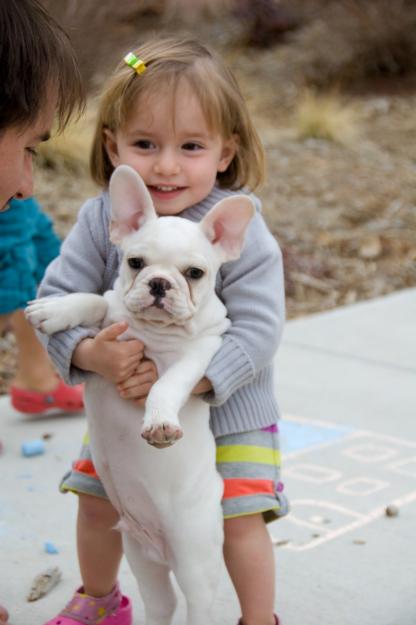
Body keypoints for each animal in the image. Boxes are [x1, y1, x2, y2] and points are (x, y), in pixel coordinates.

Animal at [26, 165, 255, 624]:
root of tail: (159, 546)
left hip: (195, 561)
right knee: (160, 601)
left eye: (195, 273)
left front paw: (160, 423)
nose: (160, 283)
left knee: (196, 603)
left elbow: (166, 384)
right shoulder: (112, 310)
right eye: (135, 263)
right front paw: (56, 310)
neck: (153, 331)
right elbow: (93, 299)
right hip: (139, 555)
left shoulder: (199, 355)